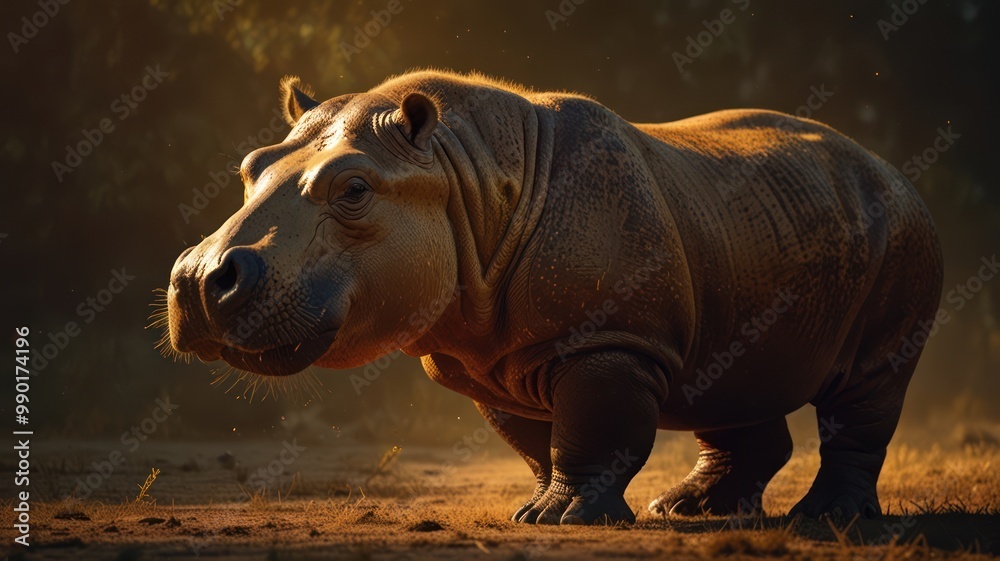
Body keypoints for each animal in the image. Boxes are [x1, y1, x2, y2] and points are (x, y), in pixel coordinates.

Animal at [165, 70, 943, 525]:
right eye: (249, 170)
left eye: (354, 190)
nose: (199, 281)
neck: (464, 177)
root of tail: (891, 169)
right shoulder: (487, 356)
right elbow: (540, 439)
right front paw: (539, 506)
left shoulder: (611, 338)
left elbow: (591, 424)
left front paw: (560, 519)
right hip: (753, 227)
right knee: (729, 377)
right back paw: (689, 511)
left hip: (901, 231)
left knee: (868, 385)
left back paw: (827, 521)